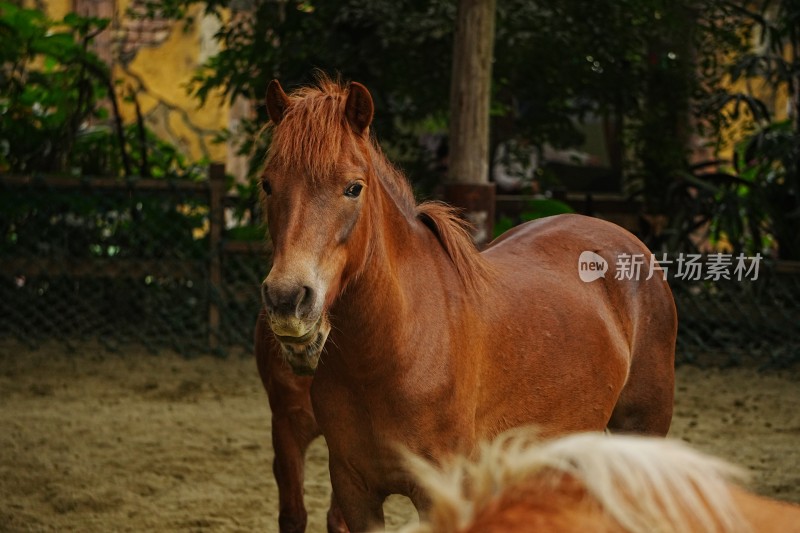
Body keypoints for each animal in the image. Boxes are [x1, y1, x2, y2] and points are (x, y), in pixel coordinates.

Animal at [260, 76, 680, 532]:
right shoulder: (355, 490)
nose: (287, 299)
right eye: (268, 184)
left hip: (639, 432)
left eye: (353, 187)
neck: (392, 348)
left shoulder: (442, 490)